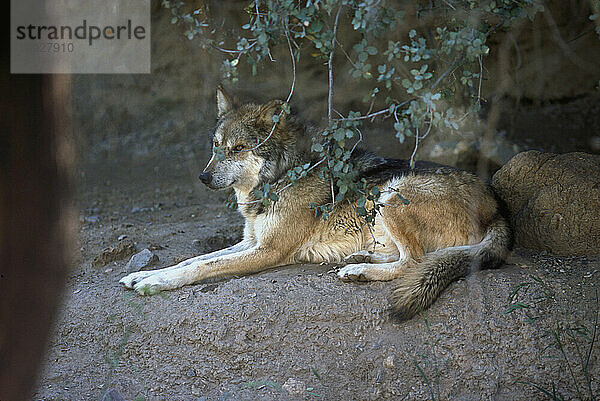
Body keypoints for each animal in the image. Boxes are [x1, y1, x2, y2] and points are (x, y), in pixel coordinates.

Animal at [120, 86, 510, 318]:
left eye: (238, 149)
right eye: (216, 147)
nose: (202, 178)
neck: (280, 179)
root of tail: (498, 207)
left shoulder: (267, 251)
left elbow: (201, 267)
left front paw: (155, 283)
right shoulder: (250, 242)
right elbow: (194, 258)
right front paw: (143, 274)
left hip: (392, 192)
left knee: (414, 261)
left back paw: (359, 271)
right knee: (410, 257)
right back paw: (359, 259)